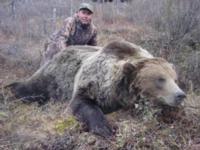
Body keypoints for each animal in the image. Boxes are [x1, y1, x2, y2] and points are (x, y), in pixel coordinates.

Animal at [7, 40, 186, 138]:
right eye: (160, 79)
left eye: (175, 79)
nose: (180, 95)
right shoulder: (93, 82)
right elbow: (81, 103)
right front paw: (106, 128)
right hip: (52, 77)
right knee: (31, 88)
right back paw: (9, 90)